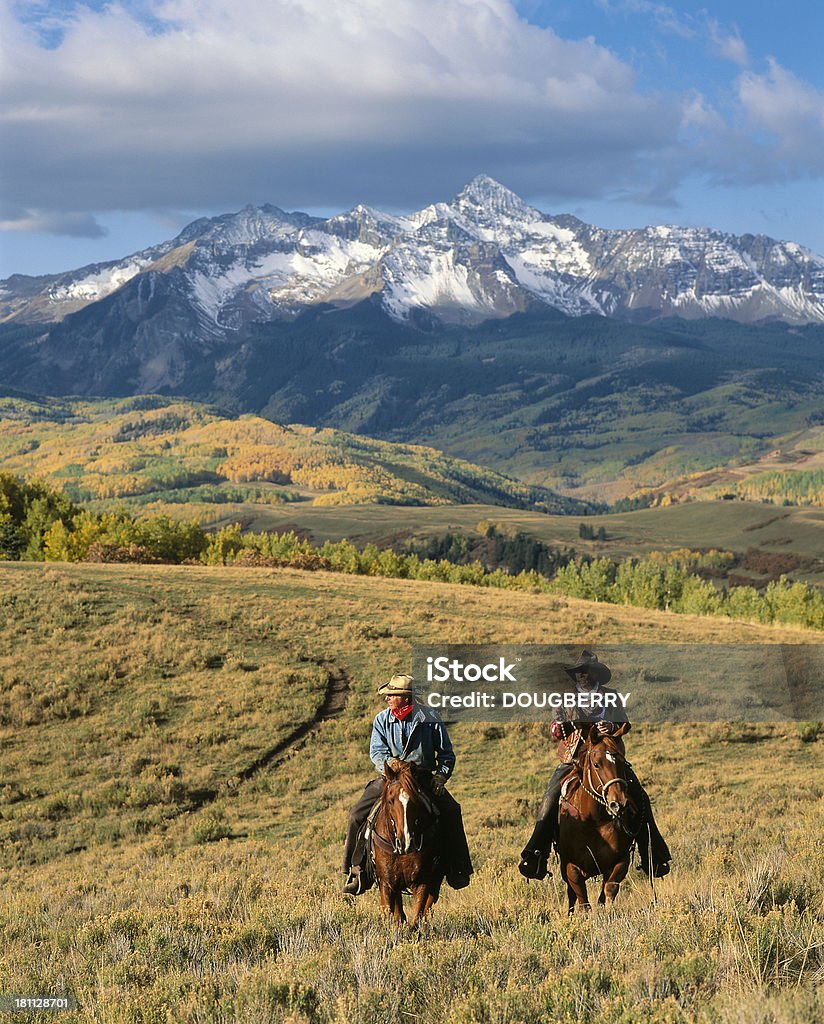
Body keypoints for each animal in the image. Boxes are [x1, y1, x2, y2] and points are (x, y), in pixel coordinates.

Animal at [368, 761, 440, 929]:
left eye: (416, 801)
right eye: (390, 800)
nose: (405, 841)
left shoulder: (422, 882)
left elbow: (416, 919)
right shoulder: (387, 884)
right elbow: (391, 916)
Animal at [556, 724, 638, 917]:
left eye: (623, 762)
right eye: (596, 764)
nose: (619, 803)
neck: (594, 821)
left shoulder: (620, 861)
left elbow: (609, 890)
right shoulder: (572, 868)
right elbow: (583, 901)